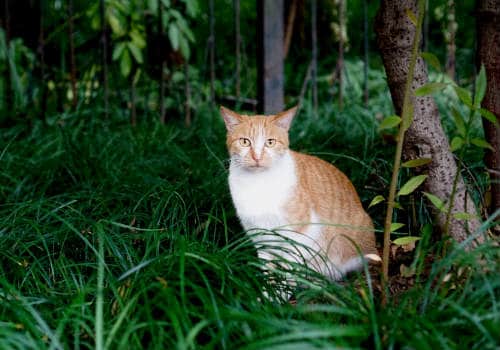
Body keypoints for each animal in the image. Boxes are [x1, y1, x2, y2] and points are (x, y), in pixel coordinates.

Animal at [221, 105, 376, 284]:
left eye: (270, 142)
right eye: (245, 141)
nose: (257, 157)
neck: (257, 183)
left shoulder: (298, 235)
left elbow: (288, 269)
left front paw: (282, 289)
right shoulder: (261, 237)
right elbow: (268, 270)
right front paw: (268, 290)